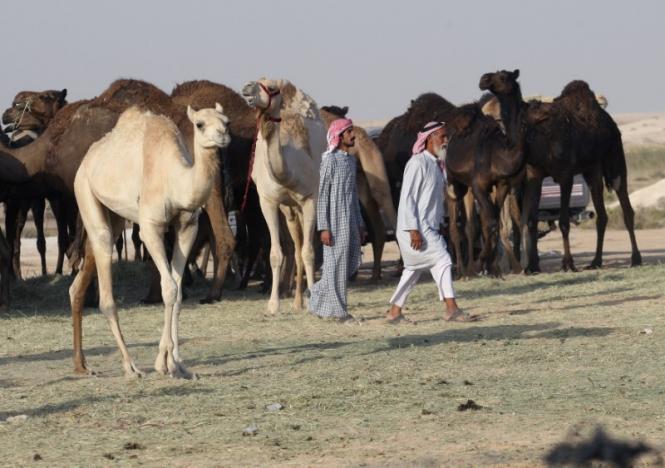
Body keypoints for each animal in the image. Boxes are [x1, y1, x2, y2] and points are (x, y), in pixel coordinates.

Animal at [69, 103, 231, 376]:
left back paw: (81, 365)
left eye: (226, 121)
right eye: (199, 124)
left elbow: (178, 292)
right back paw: (130, 366)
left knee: (79, 281)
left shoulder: (188, 226)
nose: (223, 136)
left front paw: (177, 363)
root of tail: (87, 159)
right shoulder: (151, 227)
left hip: (112, 215)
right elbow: (169, 288)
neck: (175, 179)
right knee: (105, 284)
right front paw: (164, 364)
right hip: (83, 190)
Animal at [243, 77, 328, 314]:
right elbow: (275, 254)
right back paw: (298, 301)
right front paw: (273, 305)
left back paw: (305, 298)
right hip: (288, 209)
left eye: (271, 88)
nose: (247, 88)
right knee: (295, 248)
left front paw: (313, 300)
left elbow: (309, 252)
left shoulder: (310, 200)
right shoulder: (268, 201)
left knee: (304, 248)